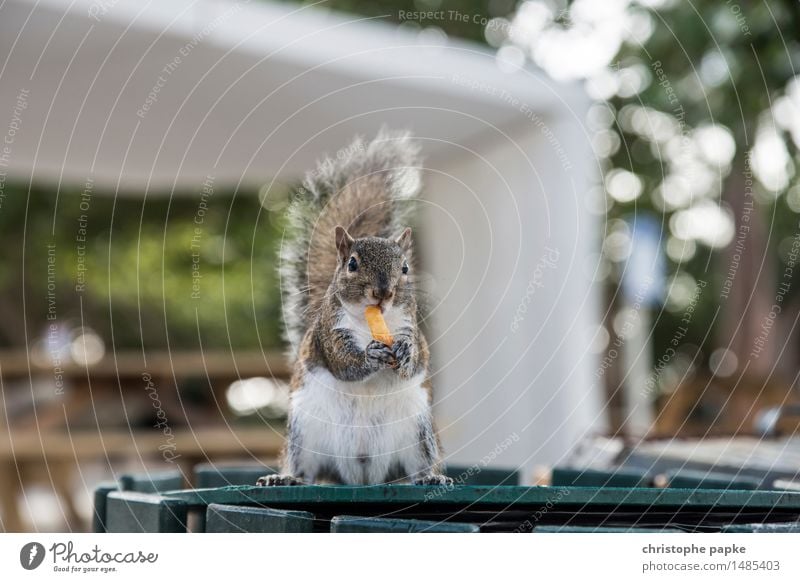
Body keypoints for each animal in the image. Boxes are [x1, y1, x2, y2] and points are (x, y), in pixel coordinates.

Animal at [260, 129, 454, 488]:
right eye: (352, 264)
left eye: (405, 268)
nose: (384, 292)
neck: (371, 321)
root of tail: (362, 475)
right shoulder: (330, 332)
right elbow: (343, 363)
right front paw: (370, 355)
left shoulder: (410, 326)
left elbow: (417, 357)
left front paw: (404, 352)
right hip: (303, 434)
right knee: (305, 469)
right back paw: (286, 478)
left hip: (420, 433)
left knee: (419, 467)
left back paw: (431, 478)